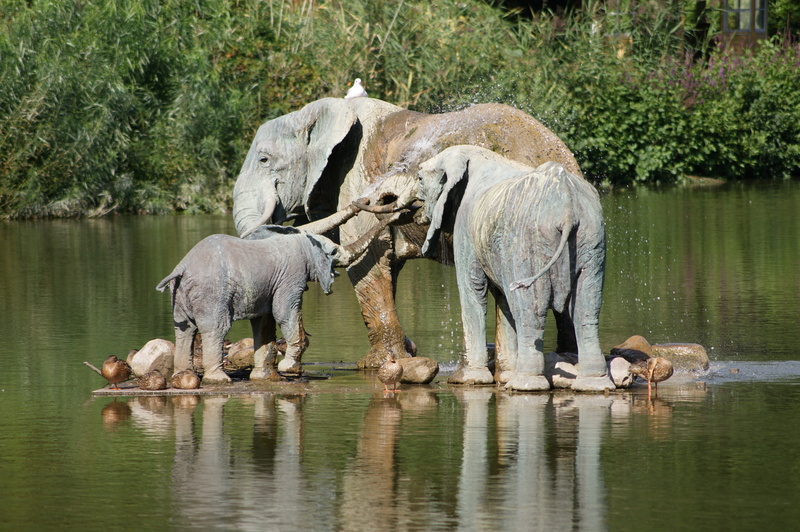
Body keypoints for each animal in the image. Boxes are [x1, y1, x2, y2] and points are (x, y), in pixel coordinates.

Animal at [157, 206, 401, 384]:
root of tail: (183, 267)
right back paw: (219, 380)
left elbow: (263, 320)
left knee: (185, 330)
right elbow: (284, 312)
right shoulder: (291, 275)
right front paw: (289, 368)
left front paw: (263, 377)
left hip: (180, 294)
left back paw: (183, 377)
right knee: (215, 328)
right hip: (212, 292)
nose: (398, 210)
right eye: (332, 252)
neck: (302, 238)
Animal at [231, 96, 582, 368]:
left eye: (264, 159)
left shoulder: (354, 177)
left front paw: (378, 363)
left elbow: (369, 266)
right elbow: (387, 265)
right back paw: (563, 358)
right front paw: (407, 353)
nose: (381, 200)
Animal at [416, 145, 612, 392]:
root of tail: (566, 206)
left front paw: (468, 380)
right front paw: (503, 376)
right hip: (591, 237)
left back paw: (525, 384)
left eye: (419, 178)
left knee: (531, 308)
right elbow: (503, 300)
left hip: (528, 242)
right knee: (586, 307)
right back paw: (594, 384)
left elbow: (473, 287)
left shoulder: (466, 225)